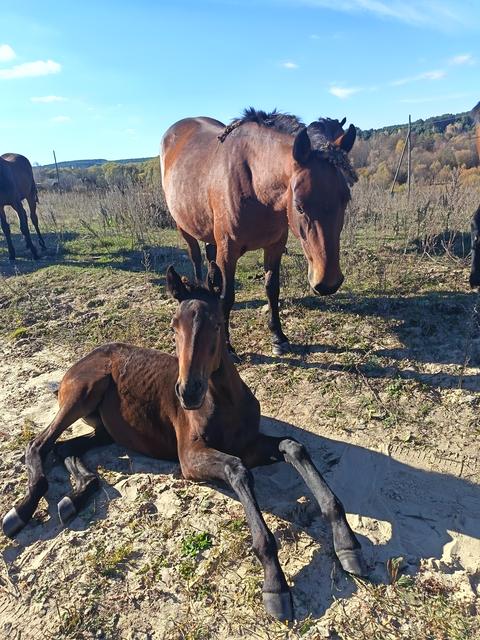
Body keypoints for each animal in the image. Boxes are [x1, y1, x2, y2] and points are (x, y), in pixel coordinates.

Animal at [1, 263, 366, 622]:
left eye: (217, 323)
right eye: (173, 325)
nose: (188, 392)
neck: (225, 403)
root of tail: (87, 356)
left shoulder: (249, 444)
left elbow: (294, 447)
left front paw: (346, 543)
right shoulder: (190, 459)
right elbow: (238, 470)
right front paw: (275, 584)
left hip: (105, 428)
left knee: (64, 448)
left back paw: (73, 498)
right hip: (82, 392)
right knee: (38, 445)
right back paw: (21, 511)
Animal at [160, 108, 357, 357]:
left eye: (345, 199)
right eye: (299, 206)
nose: (328, 283)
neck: (254, 184)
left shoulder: (275, 245)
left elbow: (272, 288)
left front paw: (278, 337)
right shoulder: (228, 250)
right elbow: (227, 296)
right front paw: (227, 346)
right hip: (184, 227)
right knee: (195, 257)